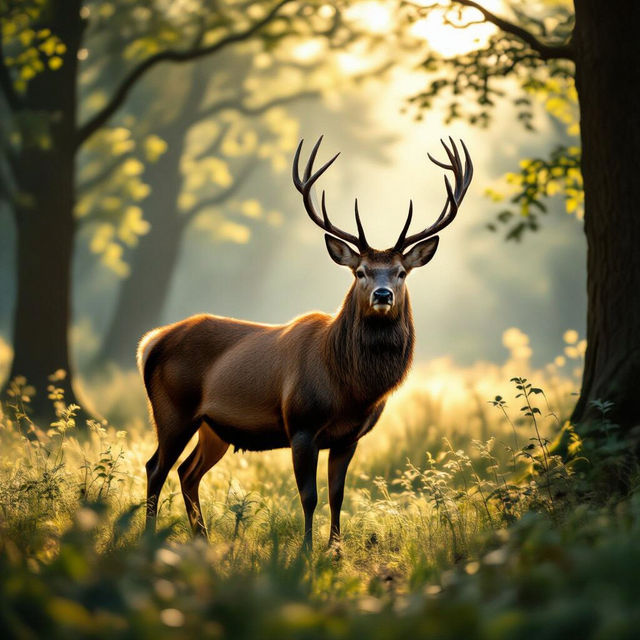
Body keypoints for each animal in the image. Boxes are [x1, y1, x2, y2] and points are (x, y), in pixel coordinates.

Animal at [138, 136, 473, 550]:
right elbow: (308, 496)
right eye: (360, 271)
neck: (350, 388)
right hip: (172, 409)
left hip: (213, 427)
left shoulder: (349, 437)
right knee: (156, 466)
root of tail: (150, 343)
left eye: (400, 272)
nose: (382, 295)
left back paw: (203, 538)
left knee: (187, 471)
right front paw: (307, 551)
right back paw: (148, 538)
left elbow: (337, 494)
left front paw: (336, 548)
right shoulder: (301, 424)